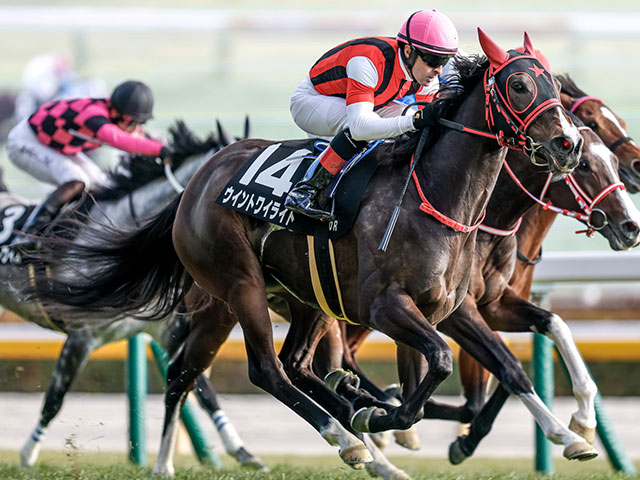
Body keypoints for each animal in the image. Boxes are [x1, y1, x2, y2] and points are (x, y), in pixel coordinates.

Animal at [0, 121, 265, 470]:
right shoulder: (82, 336)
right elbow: (54, 399)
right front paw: (28, 455)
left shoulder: (166, 333)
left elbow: (201, 389)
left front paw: (243, 452)